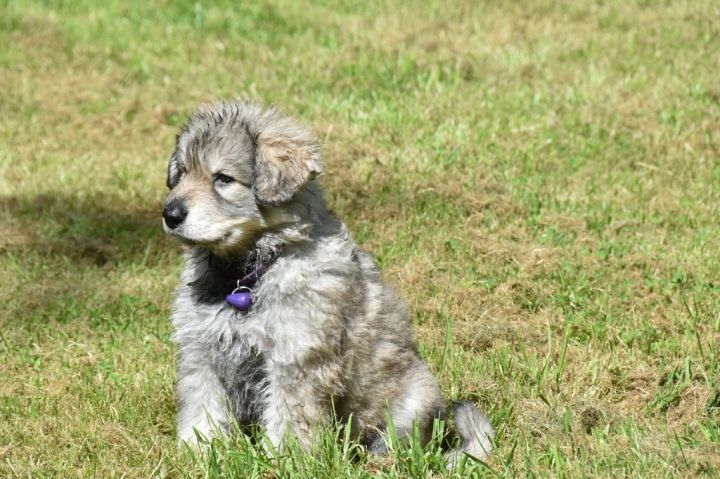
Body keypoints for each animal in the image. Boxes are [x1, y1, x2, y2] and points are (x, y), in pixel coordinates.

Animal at [162, 99, 495, 465]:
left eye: (223, 178)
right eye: (182, 174)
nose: (170, 214)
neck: (249, 271)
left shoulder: (296, 361)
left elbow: (290, 420)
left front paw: (282, 461)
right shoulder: (201, 352)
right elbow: (202, 408)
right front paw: (198, 452)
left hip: (415, 399)